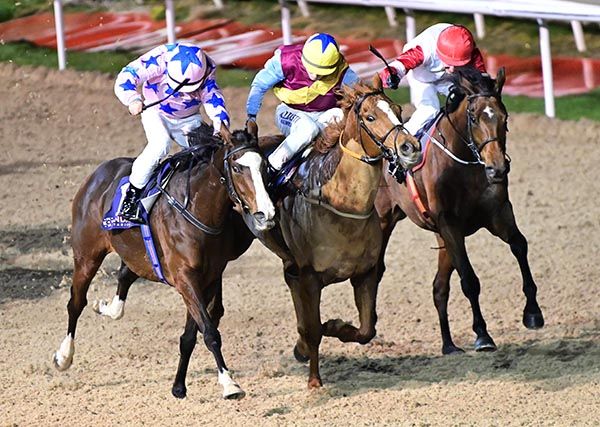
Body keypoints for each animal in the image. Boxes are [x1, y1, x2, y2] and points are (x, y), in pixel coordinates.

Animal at [52, 122, 275, 399]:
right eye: (236, 167)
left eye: (264, 166)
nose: (266, 213)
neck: (196, 210)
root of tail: (97, 175)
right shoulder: (185, 278)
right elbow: (209, 331)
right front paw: (229, 384)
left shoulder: (209, 278)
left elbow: (192, 333)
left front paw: (179, 386)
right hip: (87, 255)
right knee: (76, 302)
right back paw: (64, 356)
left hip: (138, 256)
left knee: (125, 275)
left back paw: (107, 307)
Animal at [242, 74, 422, 388]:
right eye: (370, 116)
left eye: (399, 111)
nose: (409, 147)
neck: (340, 205)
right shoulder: (311, 277)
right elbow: (314, 328)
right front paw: (315, 381)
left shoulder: (365, 273)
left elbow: (366, 329)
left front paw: (334, 326)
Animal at [375, 67, 544, 355]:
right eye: (474, 118)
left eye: (505, 118)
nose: (497, 169)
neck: (465, 163)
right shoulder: (450, 225)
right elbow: (469, 279)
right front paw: (482, 335)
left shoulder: (497, 214)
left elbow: (519, 245)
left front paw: (533, 313)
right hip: (387, 221)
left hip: (442, 239)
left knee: (439, 287)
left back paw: (449, 344)